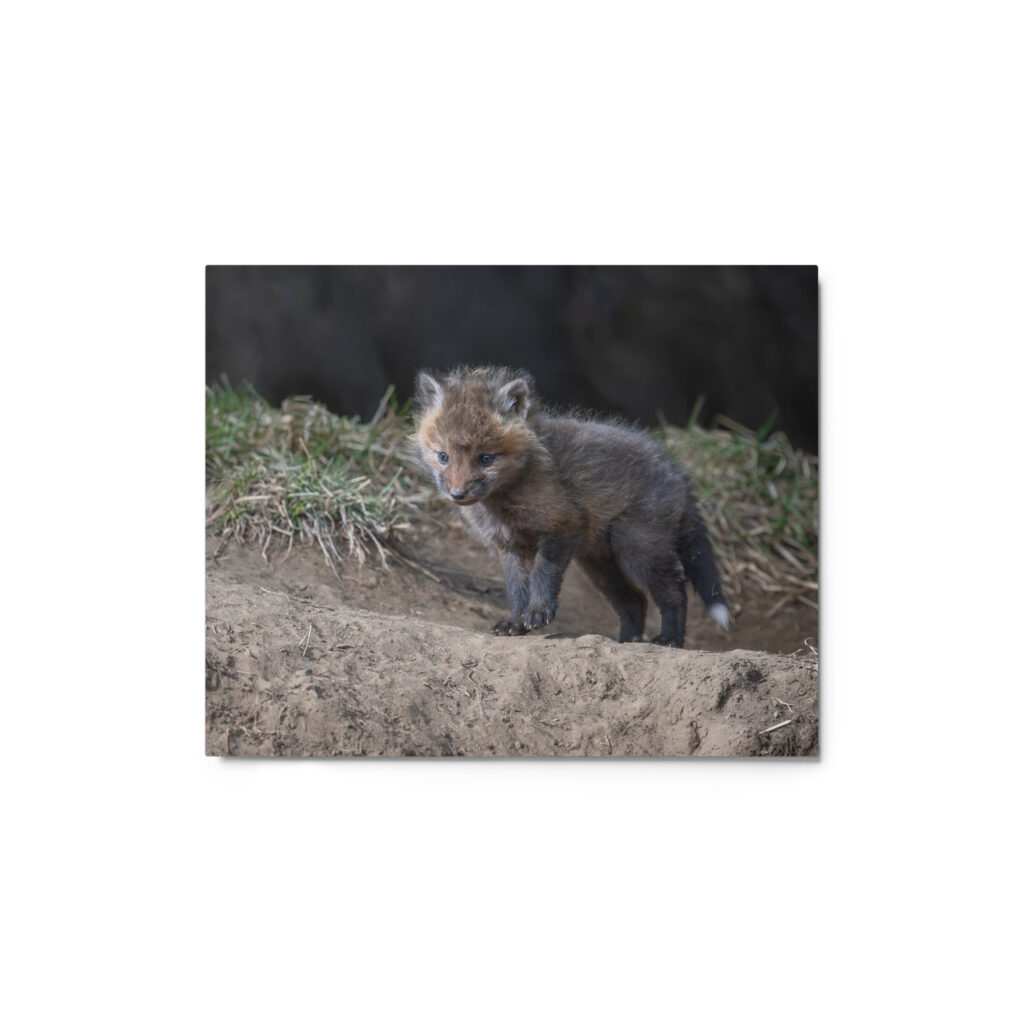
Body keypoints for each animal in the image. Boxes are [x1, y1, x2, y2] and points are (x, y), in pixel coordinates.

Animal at [413, 366, 729, 648]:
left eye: (486, 458)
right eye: (443, 457)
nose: (457, 494)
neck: (504, 503)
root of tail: (678, 474)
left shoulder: (563, 525)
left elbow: (542, 574)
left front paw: (538, 613)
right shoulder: (510, 545)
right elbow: (517, 589)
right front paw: (516, 623)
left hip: (636, 548)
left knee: (675, 592)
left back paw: (670, 639)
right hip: (600, 565)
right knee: (635, 601)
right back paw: (625, 641)